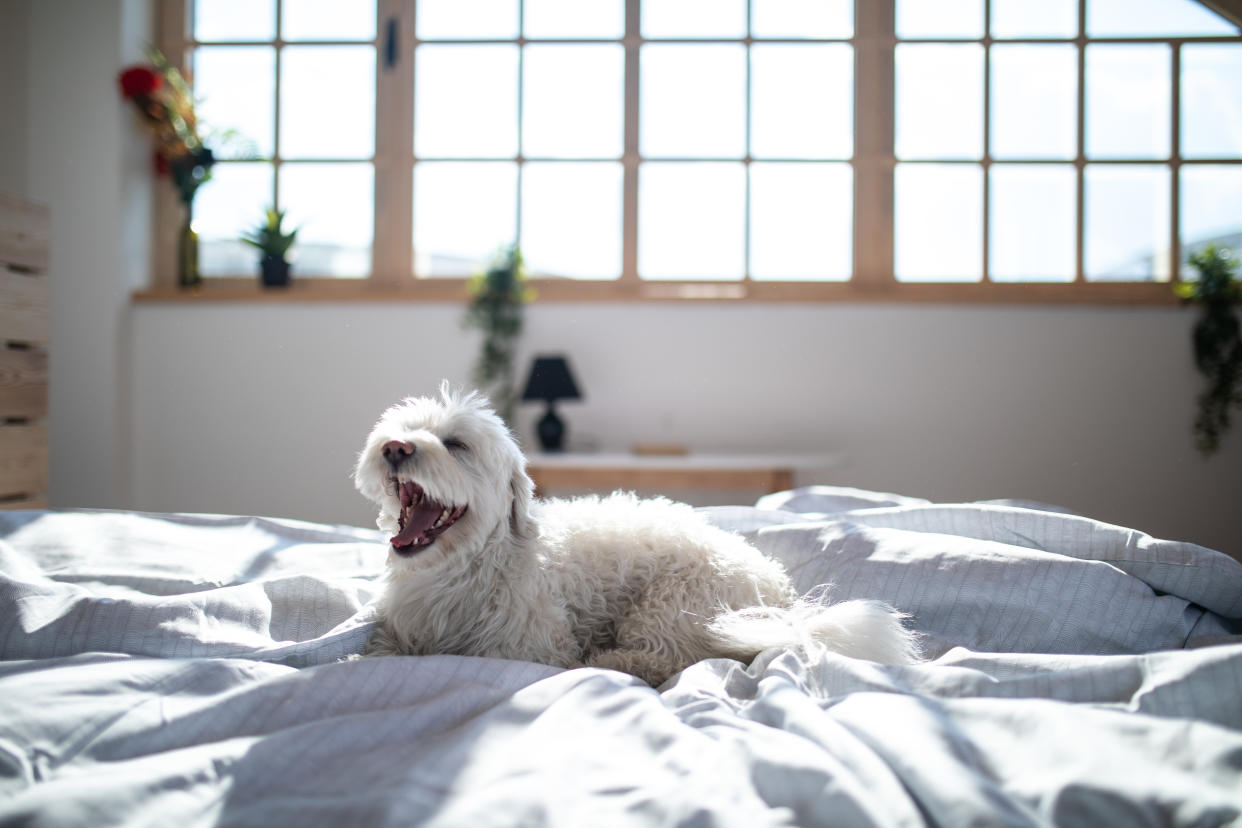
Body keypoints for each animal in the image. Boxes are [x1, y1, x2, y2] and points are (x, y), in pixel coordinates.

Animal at [355, 384, 919, 685]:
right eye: (400, 430)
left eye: (456, 444)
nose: (395, 448)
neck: (463, 569)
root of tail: (781, 595)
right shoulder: (398, 632)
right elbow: (377, 653)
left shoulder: (529, 648)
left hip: (672, 604)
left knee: (676, 659)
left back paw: (611, 661)